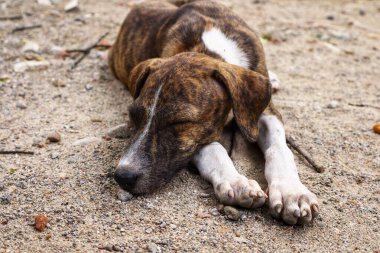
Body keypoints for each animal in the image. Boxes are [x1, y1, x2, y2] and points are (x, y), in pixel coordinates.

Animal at [108, 0, 320, 225]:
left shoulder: (262, 111)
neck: (211, 49)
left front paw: (292, 193)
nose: (123, 176)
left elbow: (279, 149)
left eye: (179, 122)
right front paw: (236, 182)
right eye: (133, 116)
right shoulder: (199, 138)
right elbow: (214, 151)